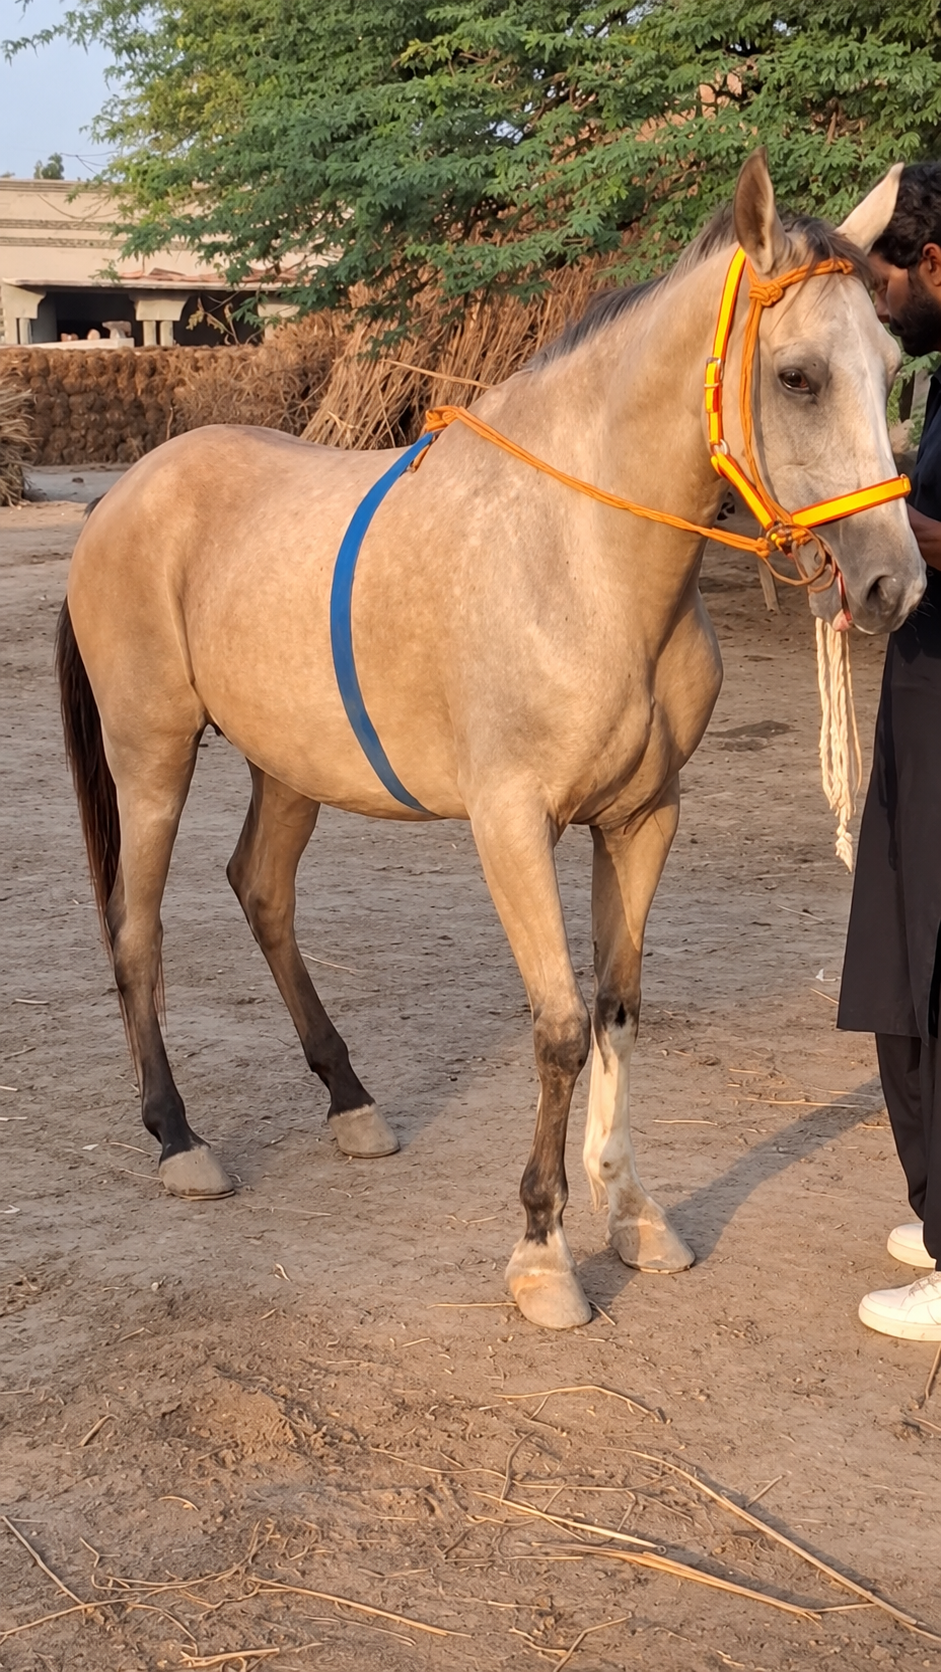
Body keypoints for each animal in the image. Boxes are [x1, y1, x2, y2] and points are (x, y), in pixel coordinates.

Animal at [56, 152, 923, 1330]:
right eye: (795, 377)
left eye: (889, 367)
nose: (891, 584)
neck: (581, 559)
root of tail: (122, 494)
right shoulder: (511, 823)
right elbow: (556, 1026)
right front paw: (543, 1252)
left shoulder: (640, 819)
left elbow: (615, 1011)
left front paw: (632, 1216)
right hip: (151, 754)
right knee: (136, 927)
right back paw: (177, 1136)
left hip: (289, 765)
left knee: (261, 890)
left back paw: (350, 1100)